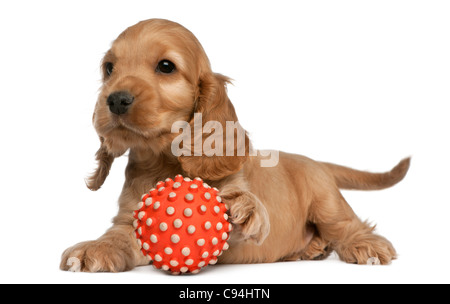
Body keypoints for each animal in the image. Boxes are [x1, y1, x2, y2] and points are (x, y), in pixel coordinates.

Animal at [60, 17, 412, 272]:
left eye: (166, 66)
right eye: (109, 68)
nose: (115, 100)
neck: (164, 161)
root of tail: (314, 161)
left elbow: (251, 215)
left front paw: (245, 208)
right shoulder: (129, 217)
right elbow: (119, 235)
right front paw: (97, 247)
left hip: (326, 200)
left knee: (345, 224)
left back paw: (365, 245)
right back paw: (310, 249)